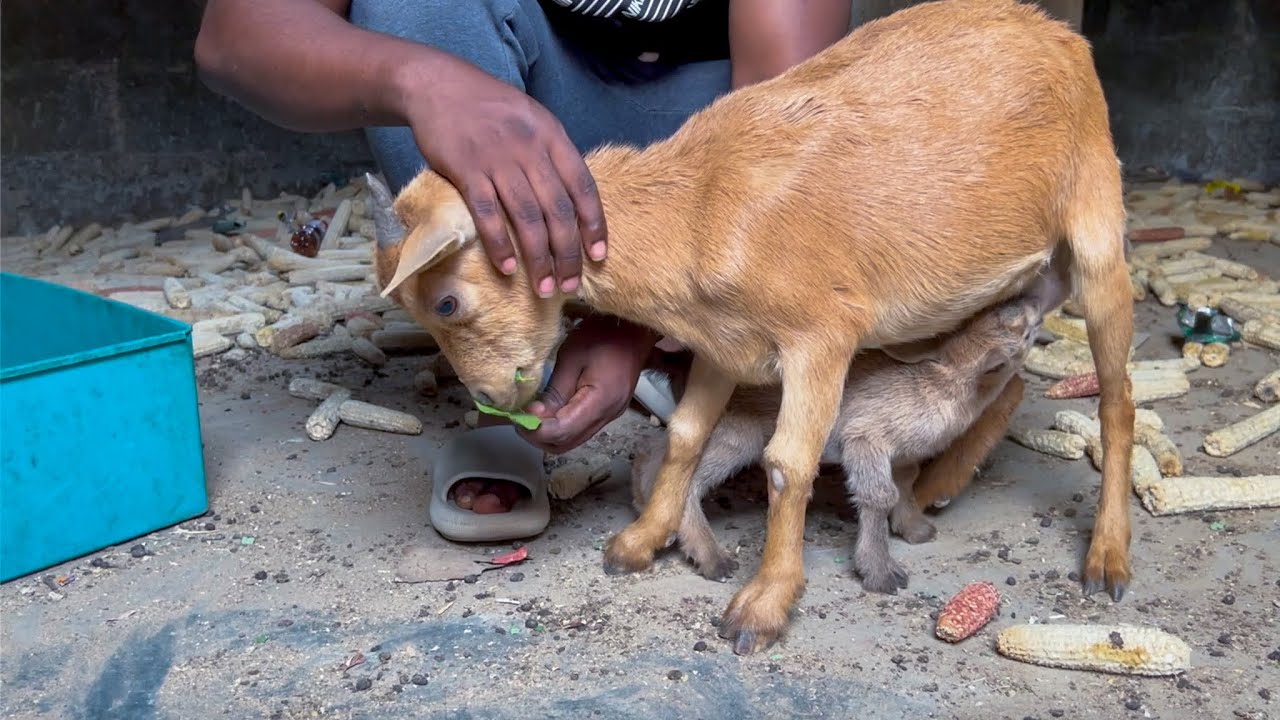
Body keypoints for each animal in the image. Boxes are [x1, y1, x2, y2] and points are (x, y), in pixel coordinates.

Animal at [370, 0, 1136, 656]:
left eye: (445, 302)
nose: (492, 395)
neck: (699, 208)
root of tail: (1060, 33)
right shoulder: (725, 346)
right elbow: (686, 433)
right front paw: (640, 541)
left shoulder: (822, 337)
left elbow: (787, 462)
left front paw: (763, 605)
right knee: (1006, 375)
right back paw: (934, 486)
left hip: (1098, 224)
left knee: (1117, 399)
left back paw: (1107, 558)